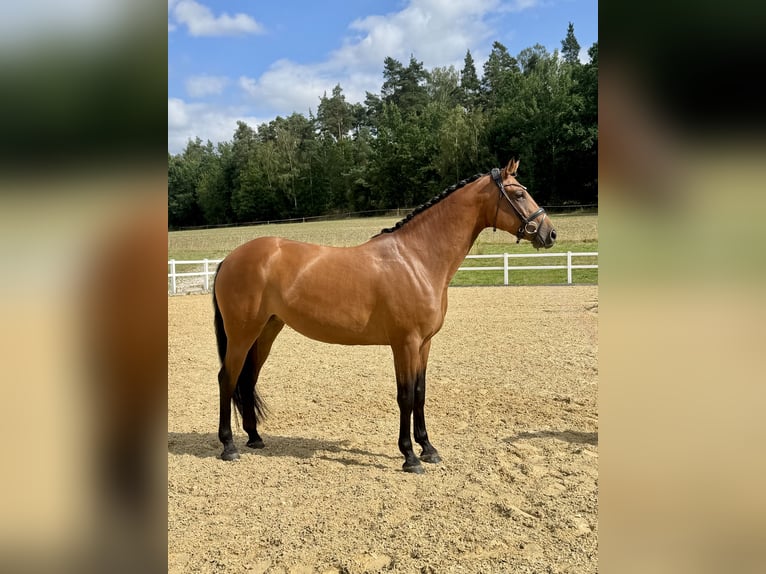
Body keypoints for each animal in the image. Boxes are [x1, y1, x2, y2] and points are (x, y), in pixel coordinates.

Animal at [212, 158, 556, 473]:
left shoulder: (424, 344)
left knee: (248, 379)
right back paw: (229, 446)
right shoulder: (404, 343)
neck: (417, 259)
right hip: (242, 333)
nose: (550, 233)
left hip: (266, 331)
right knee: (227, 378)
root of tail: (230, 259)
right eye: (519, 193)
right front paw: (410, 457)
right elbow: (404, 396)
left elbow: (419, 393)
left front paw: (428, 448)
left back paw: (255, 438)